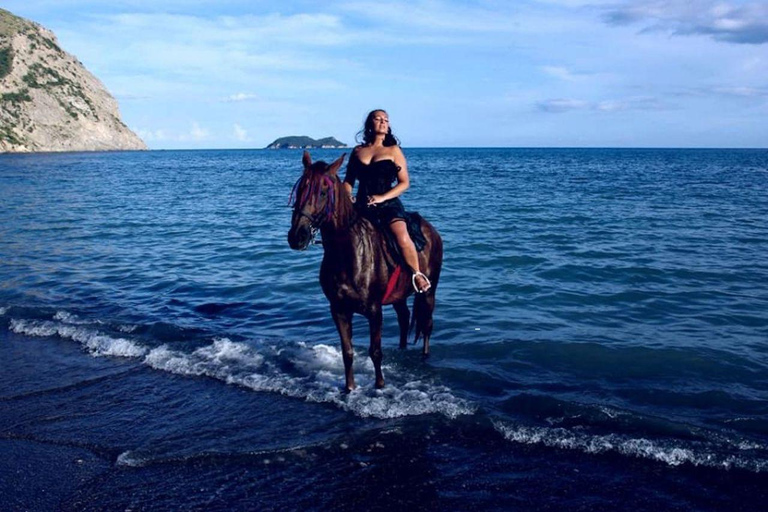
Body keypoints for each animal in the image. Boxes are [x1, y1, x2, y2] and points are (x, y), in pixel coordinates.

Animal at [286, 152, 444, 392]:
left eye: (322, 192)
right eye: (300, 189)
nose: (297, 235)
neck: (347, 254)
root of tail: (431, 230)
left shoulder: (374, 311)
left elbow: (375, 352)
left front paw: (379, 386)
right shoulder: (339, 310)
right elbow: (348, 352)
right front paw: (349, 388)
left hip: (429, 291)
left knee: (426, 325)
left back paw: (424, 357)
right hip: (399, 296)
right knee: (404, 318)